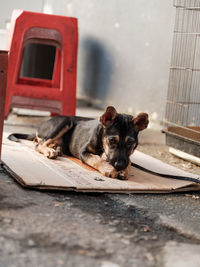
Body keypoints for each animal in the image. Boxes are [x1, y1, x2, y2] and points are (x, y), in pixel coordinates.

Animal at [8, 107, 148, 180]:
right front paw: (109, 169)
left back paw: (57, 149)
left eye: (131, 142)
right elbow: (96, 159)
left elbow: (129, 161)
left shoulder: (126, 156)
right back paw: (50, 151)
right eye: (112, 140)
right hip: (65, 121)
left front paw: (125, 170)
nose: (119, 165)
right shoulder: (83, 152)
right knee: (39, 144)